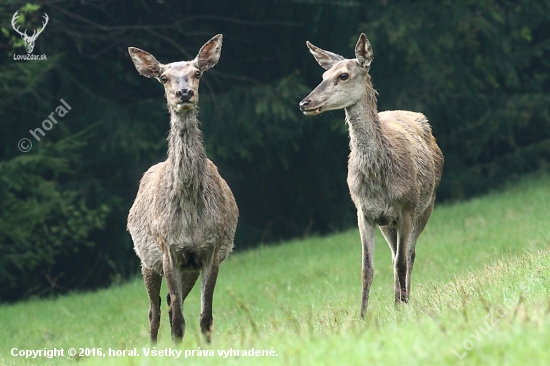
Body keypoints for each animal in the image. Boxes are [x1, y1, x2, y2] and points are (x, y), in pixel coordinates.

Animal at [127, 34, 239, 344]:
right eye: (163, 78)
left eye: (197, 73)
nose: (184, 93)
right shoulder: (168, 248)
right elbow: (178, 321)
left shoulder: (211, 248)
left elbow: (205, 318)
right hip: (146, 259)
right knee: (154, 310)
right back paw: (153, 346)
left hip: (189, 267)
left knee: (166, 303)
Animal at [300, 35, 446, 320]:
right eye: (323, 74)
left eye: (343, 75)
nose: (305, 103)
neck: (379, 175)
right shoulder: (364, 212)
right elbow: (367, 268)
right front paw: (362, 317)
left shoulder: (406, 208)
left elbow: (402, 262)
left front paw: (403, 310)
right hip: (387, 222)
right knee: (394, 255)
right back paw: (397, 301)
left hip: (427, 205)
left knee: (408, 254)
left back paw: (404, 300)